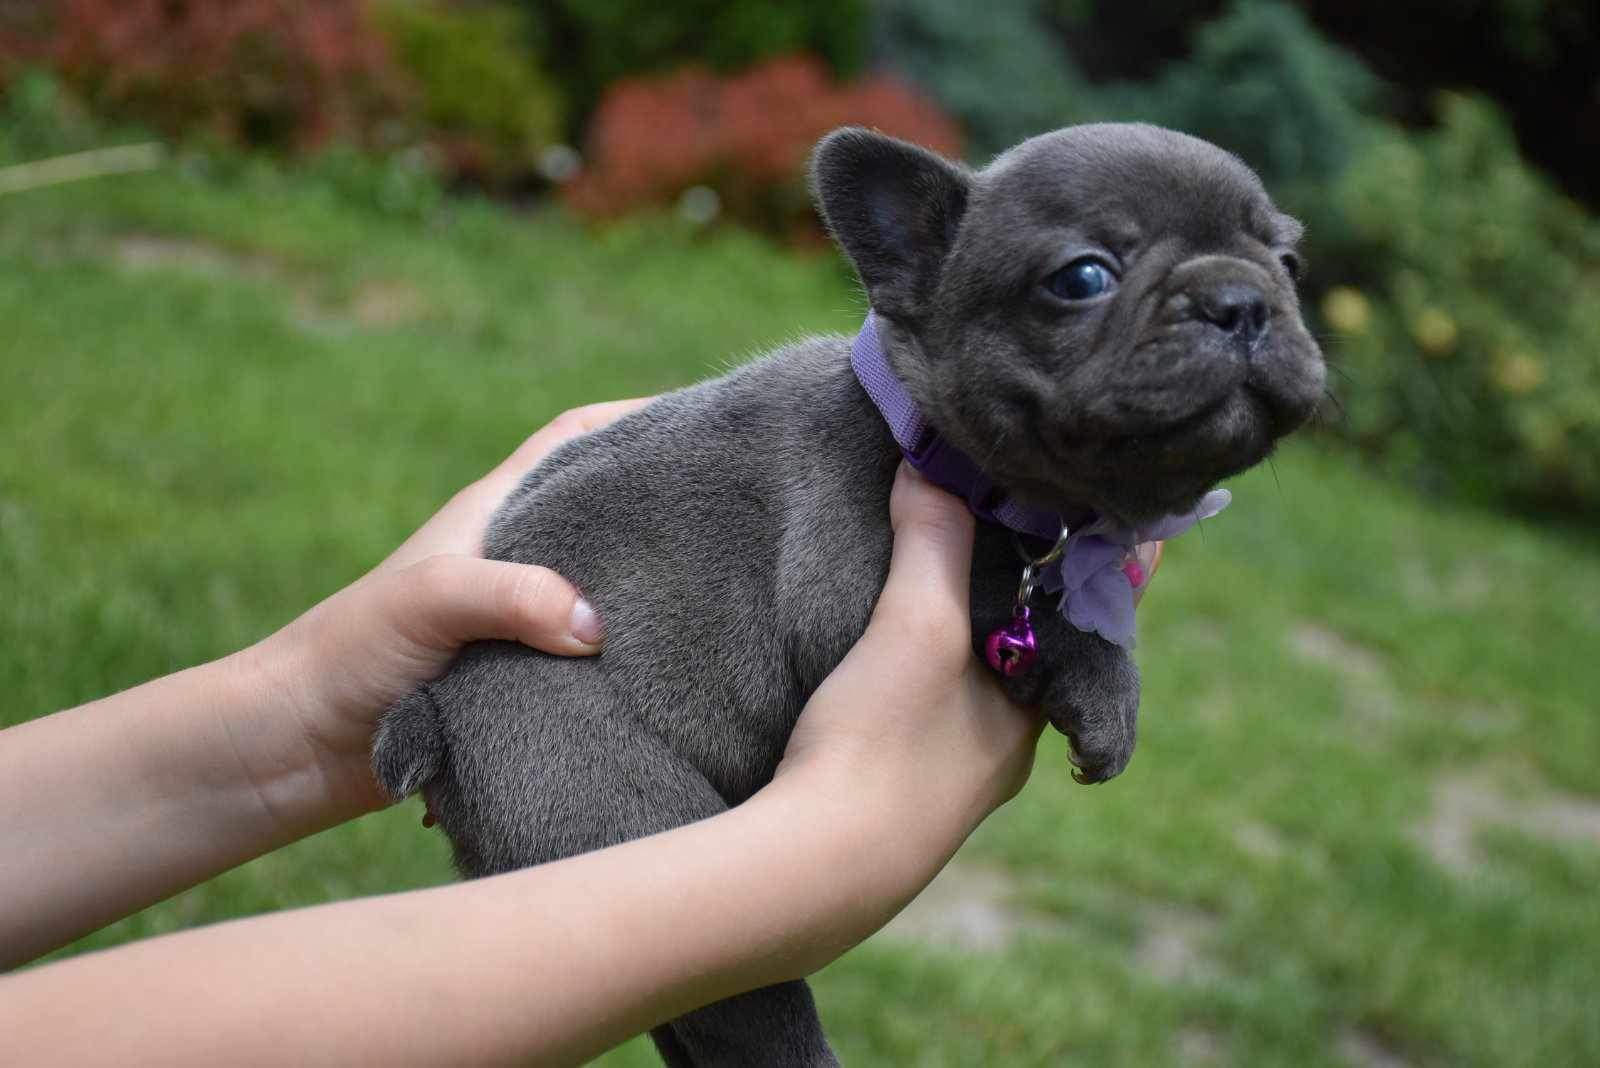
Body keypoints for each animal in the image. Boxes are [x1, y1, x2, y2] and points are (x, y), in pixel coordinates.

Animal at [374, 127, 1324, 1068]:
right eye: (1083, 277)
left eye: (1289, 262)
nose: (1241, 300)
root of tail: (436, 705)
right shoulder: (860, 579)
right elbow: (1017, 604)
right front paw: (1104, 685)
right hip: (616, 821)